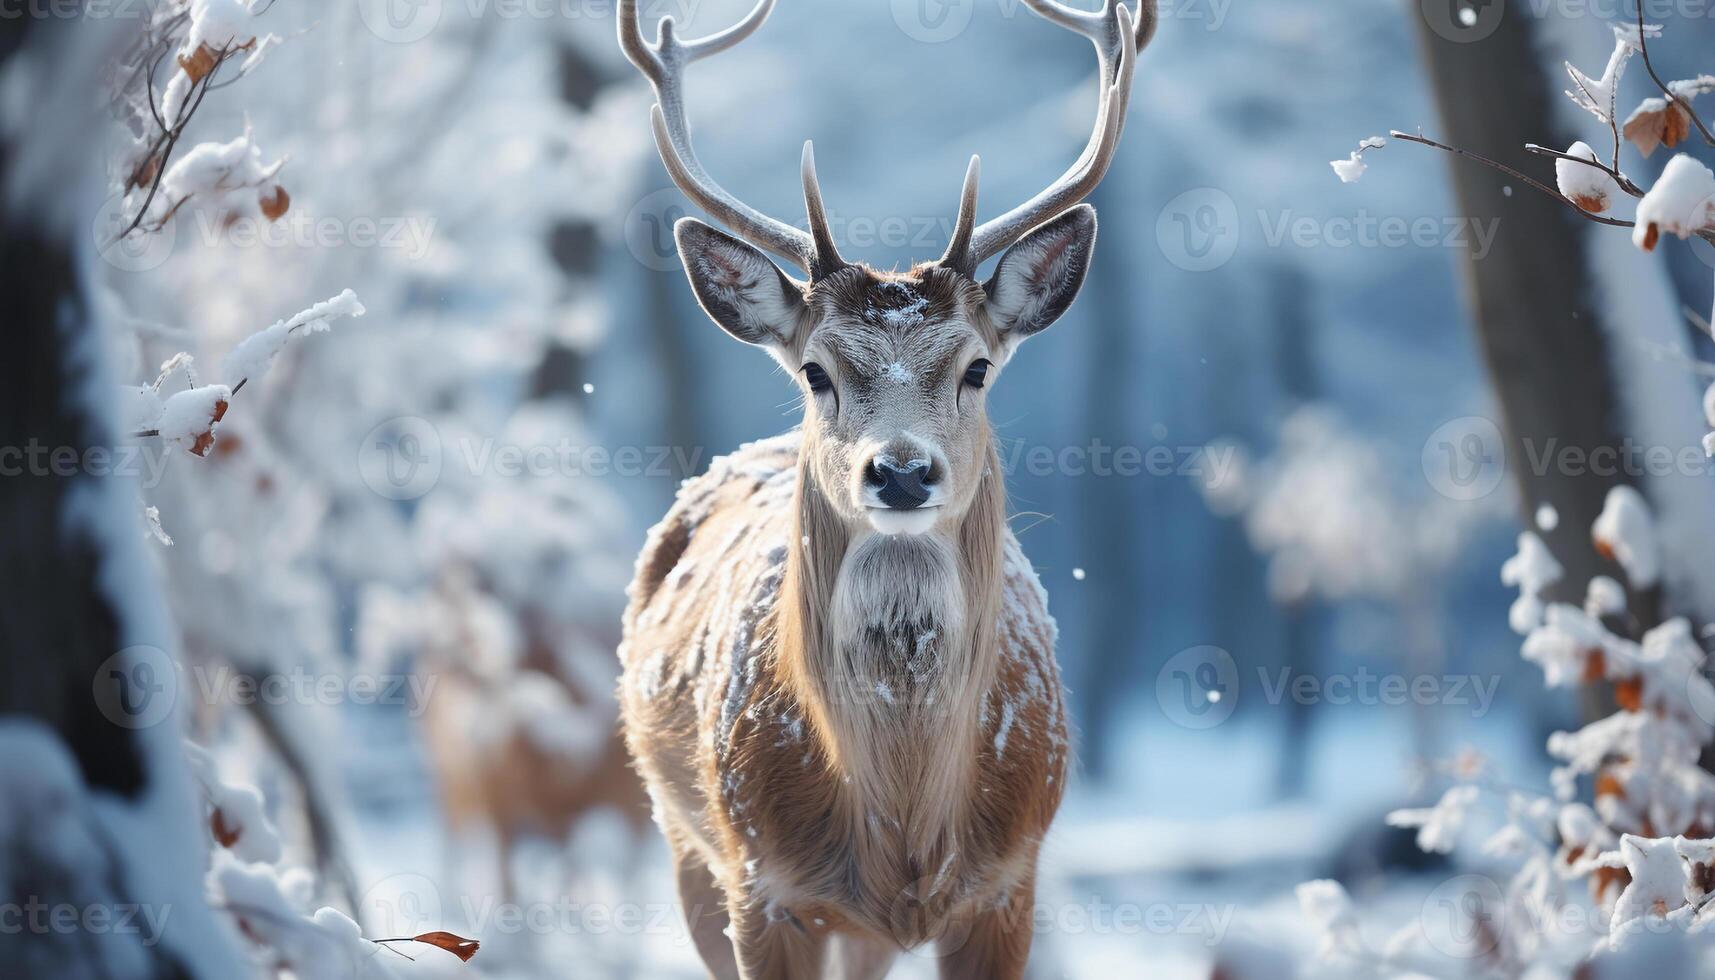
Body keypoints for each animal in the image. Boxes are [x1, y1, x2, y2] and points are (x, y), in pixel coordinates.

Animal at [617, 1, 1152, 974]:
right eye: (816, 372)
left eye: (976, 367)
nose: (900, 470)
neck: (906, 828)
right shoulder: (764, 885)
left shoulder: (1010, 882)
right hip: (683, 841)